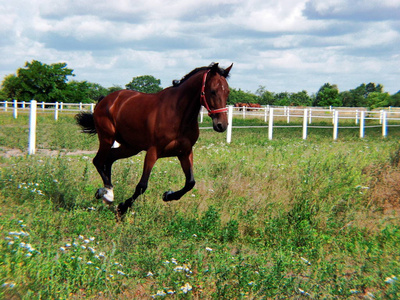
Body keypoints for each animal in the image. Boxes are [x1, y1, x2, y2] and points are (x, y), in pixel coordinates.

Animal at [76, 62, 231, 218]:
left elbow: (190, 182)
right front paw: (122, 208)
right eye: (213, 91)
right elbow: (142, 186)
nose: (221, 125)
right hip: (107, 138)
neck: (178, 114)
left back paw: (106, 192)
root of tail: (106, 100)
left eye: (228, 92)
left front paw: (168, 195)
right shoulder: (153, 151)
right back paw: (107, 194)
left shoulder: (185, 152)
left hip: (130, 147)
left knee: (109, 159)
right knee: (98, 161)